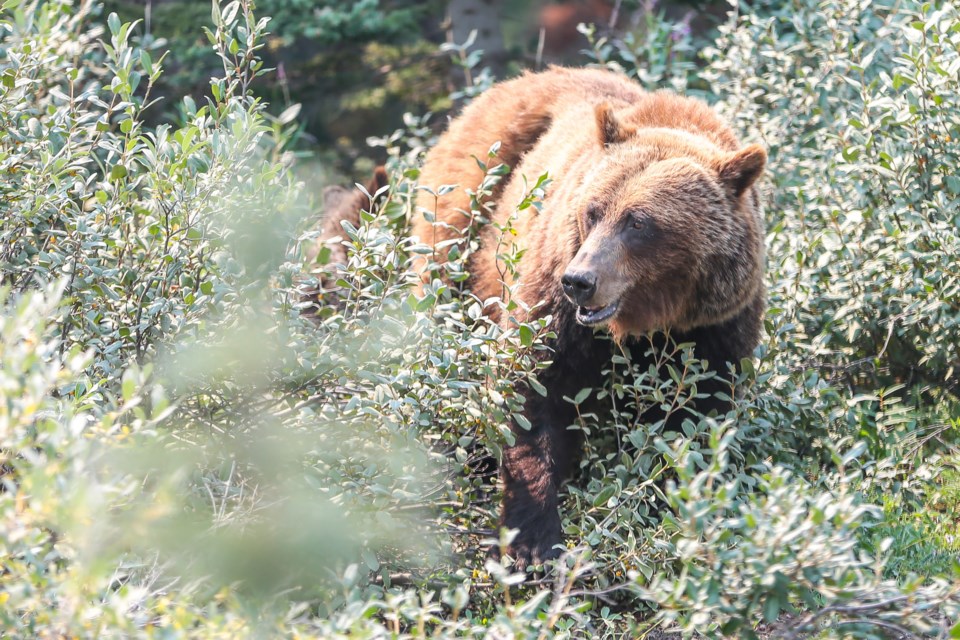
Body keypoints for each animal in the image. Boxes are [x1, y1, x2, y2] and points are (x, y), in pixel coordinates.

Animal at [322, 67, 764, 568]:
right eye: (594, 210)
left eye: (639, 222)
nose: (580, 280)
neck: (642, 326)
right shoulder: (553, 304)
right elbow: (532, 391)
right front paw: (532, 541)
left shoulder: (714, 330)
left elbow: (695, 420)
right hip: (466, 211)